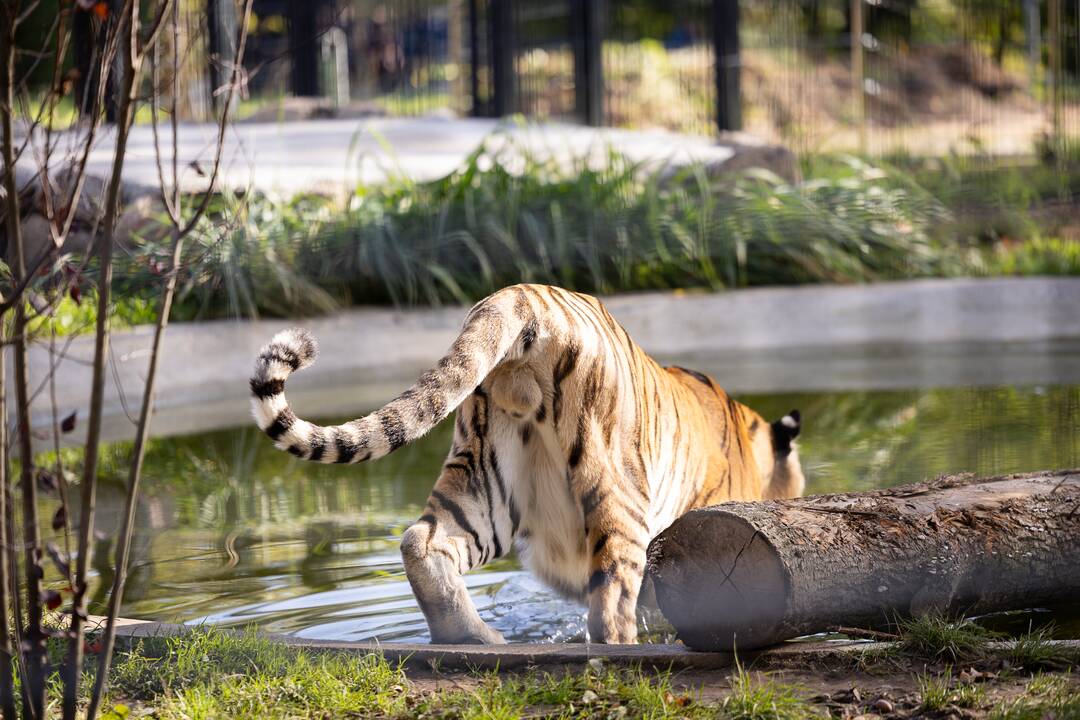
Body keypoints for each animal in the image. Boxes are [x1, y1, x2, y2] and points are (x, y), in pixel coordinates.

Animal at [250, 284, 803, 643]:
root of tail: (523, 295)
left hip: (485, 484)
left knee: (422, 543)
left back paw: (472, 641)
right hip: (616, 488)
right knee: (610, 603)